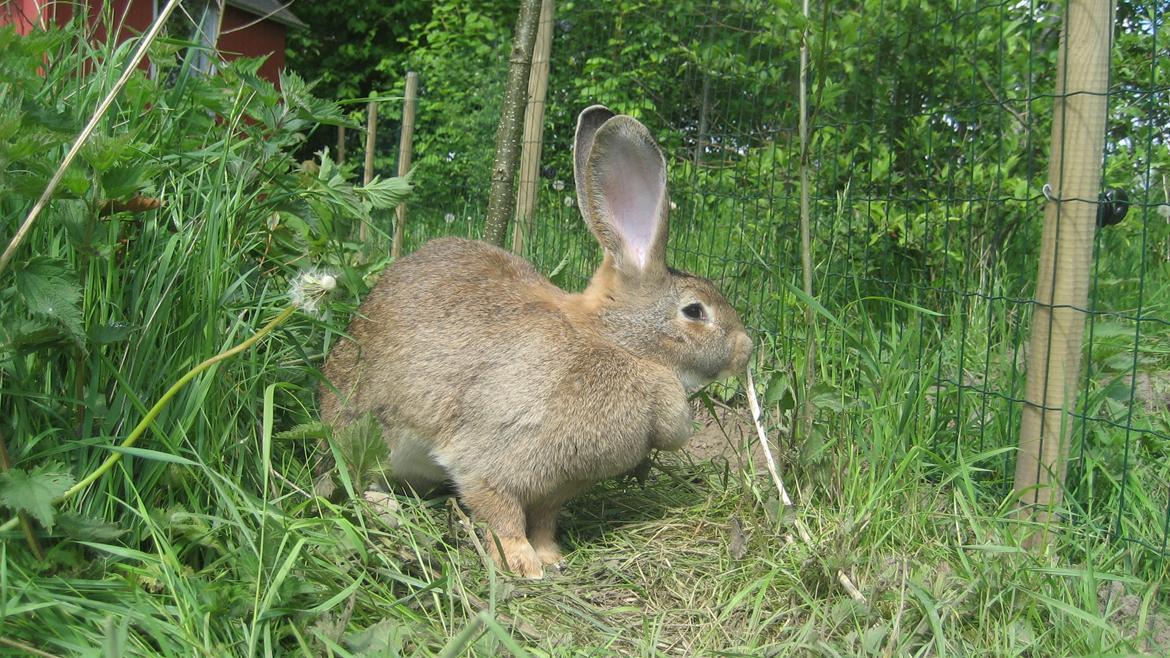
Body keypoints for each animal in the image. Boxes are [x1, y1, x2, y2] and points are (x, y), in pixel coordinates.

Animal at [320, 104, 753, 576]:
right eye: (695, 311)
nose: (746, 348)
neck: (615, 341)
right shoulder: (488, 460)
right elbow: (502, 514)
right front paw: (524, 564)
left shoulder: (557, 488)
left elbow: (544, 518)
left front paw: (551, 555)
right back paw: (385, 509)